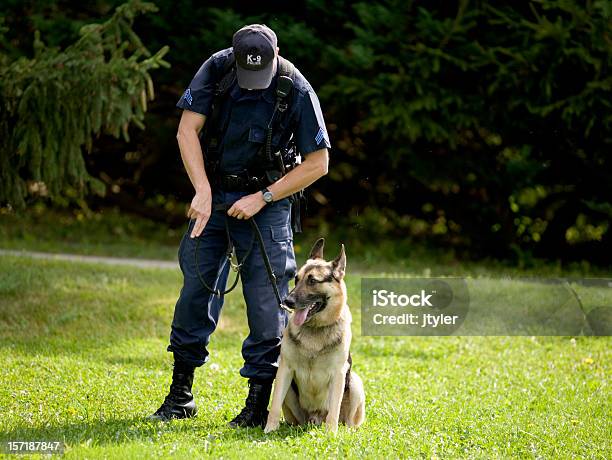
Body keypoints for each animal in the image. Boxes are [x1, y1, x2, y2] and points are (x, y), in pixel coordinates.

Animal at [262, 239, 364, 434]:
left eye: (312, 281)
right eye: (296, 279)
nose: (287, 302)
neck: (316, 329)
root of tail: (315, 420)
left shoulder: (338, 374)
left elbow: (334, 410)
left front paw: (331, 433)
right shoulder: (285, 370)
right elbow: (275, 405)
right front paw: (269, 429)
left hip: (355, 383)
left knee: (347, 420)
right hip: (289, 391)